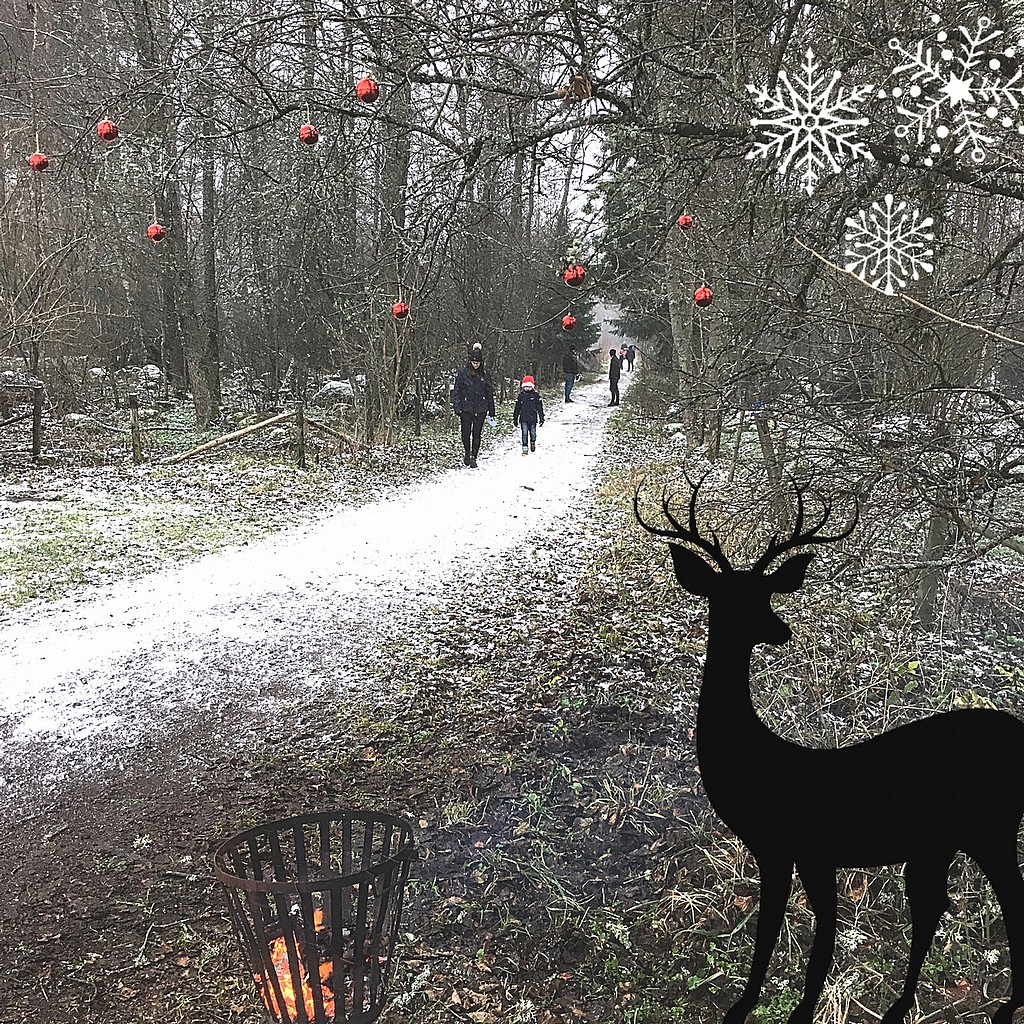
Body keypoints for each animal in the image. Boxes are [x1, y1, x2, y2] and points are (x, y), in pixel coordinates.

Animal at [635, 476, 1024, 1024]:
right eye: (725, 597)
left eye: (764, 593)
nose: (780, 630)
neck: (759, 761)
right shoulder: (794, 851)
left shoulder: (790, 845)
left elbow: (792, 925)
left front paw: (762, 1007)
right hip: (942, 840)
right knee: (935, 904)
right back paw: (903, 1004)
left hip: (990, 825)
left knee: (1009, 898)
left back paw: (1005, 1006)